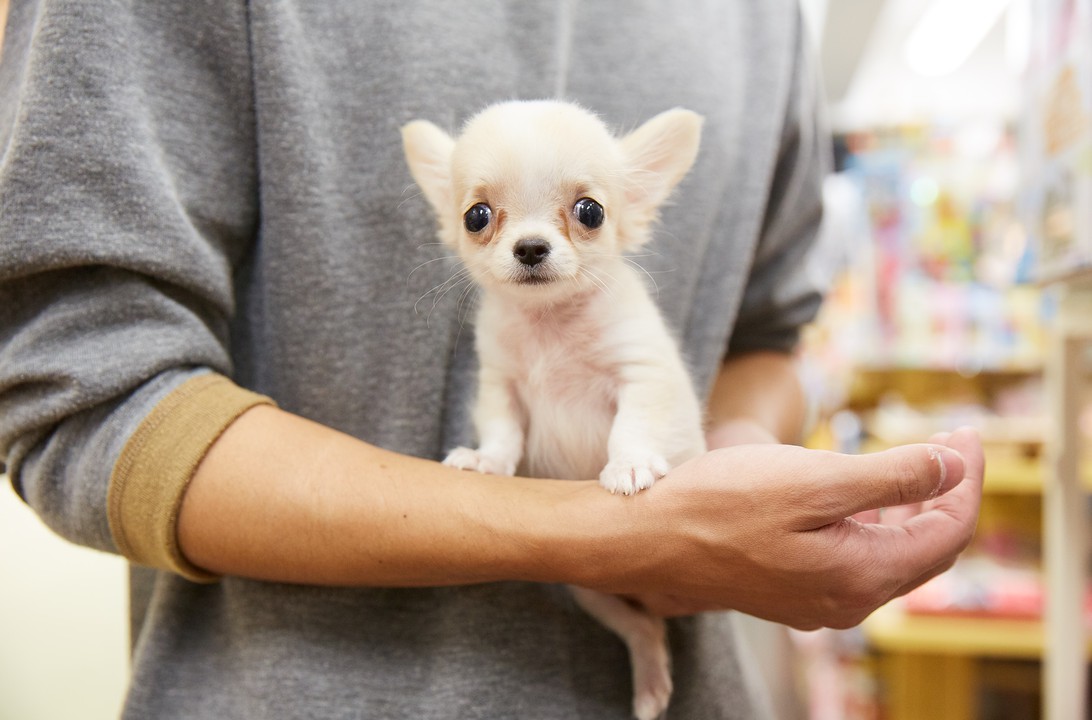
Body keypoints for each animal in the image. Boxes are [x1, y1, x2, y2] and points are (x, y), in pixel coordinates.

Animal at [406, 101, 703, 720]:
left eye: (589, 211)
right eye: (476, 216)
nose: (530, 247)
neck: (551, 325)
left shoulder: (640, 375)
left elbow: (632, 427)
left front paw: (629, 465)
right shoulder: (501, 386)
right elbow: (503, 433)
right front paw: (487, 461)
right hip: (590, 588)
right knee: (643, 628)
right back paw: (651, 681)